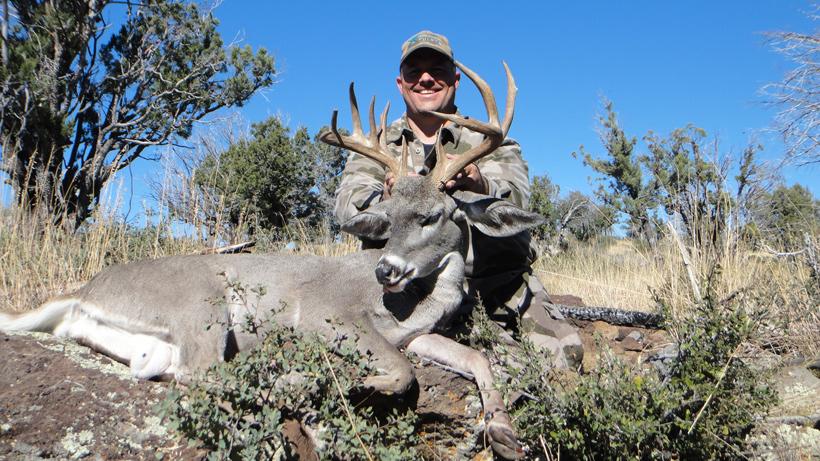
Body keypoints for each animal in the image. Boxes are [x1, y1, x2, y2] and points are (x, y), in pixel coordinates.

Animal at [0, 60, 538, 460]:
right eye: (387, 216)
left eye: (431, 216)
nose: (385, 270)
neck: (414, 303)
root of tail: (83, 291)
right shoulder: (329, 314)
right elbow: (403, 372)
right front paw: (325, 381)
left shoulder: (419, 334)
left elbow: (477, 358)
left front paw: (505, 432)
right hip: (202, 303)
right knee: (204, 372)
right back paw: (285, 382)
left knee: (163, 369)